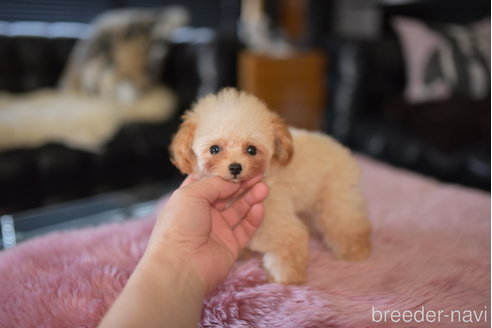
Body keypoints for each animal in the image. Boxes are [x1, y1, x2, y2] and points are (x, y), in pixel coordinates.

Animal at [171, 88, 370, 284]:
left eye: (251, 150)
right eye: (214, 149)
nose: (235, 167)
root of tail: (340, 148)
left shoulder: (278, 220)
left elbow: (288, 247)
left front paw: (286, 279)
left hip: (337, 195)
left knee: (347, 223)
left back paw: (356, 250)